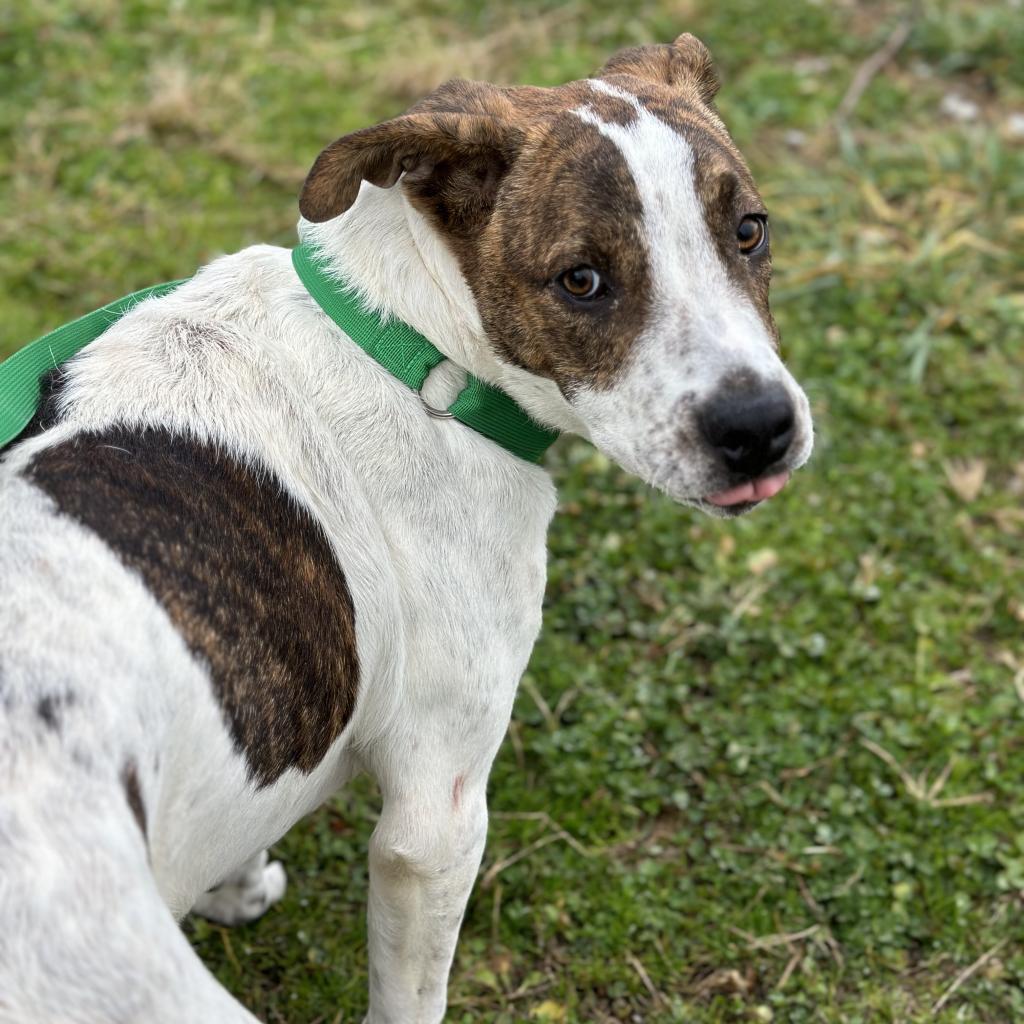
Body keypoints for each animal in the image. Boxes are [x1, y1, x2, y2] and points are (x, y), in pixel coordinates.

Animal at [2, 34, 815, 1024]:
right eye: (581, 281)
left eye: (750, 230)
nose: (758, 428)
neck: (414, 351)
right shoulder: (436, 819)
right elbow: (410, 995)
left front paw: (234, 882)